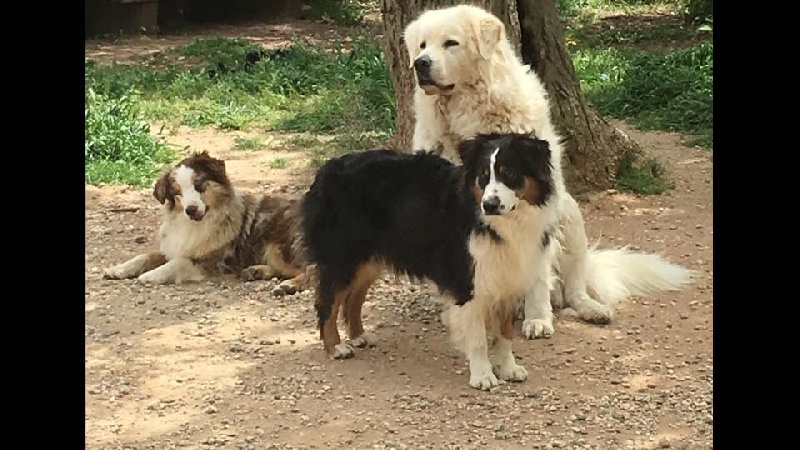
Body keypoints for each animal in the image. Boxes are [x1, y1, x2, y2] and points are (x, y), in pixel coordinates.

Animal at [104, 151, 307, 288]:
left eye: (199, 184)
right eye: (177, 192)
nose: (191, 210)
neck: (200, 223)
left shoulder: (216, 262)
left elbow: (179, 263)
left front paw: (152, 275)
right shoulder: (177, 247)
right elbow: (145, 256)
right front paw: (118, 269)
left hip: (277, 247)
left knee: (309, 271)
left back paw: (289, 285)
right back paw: (256, 271)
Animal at [300, 133, 560, 390]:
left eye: (510, 174)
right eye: (483, 176)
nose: (490, 205)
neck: (501, 224)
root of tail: (328, 167)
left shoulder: (506, 276)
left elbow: (505, 333)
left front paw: (508, 368)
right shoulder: (468, 281)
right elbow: (477, 339)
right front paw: (483, 376)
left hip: (368, 259)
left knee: (353, 298)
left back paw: (358, 336)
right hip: (343, 255)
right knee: (327, 302)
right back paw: (336, 347)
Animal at [403, 4, 694, 336]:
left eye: (450, 43)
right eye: (422, 46)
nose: (420, 64)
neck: (466, 117)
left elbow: (537, 276)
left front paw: (538, 319)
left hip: (571, 219)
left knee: (574, 288)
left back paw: (590, 309)